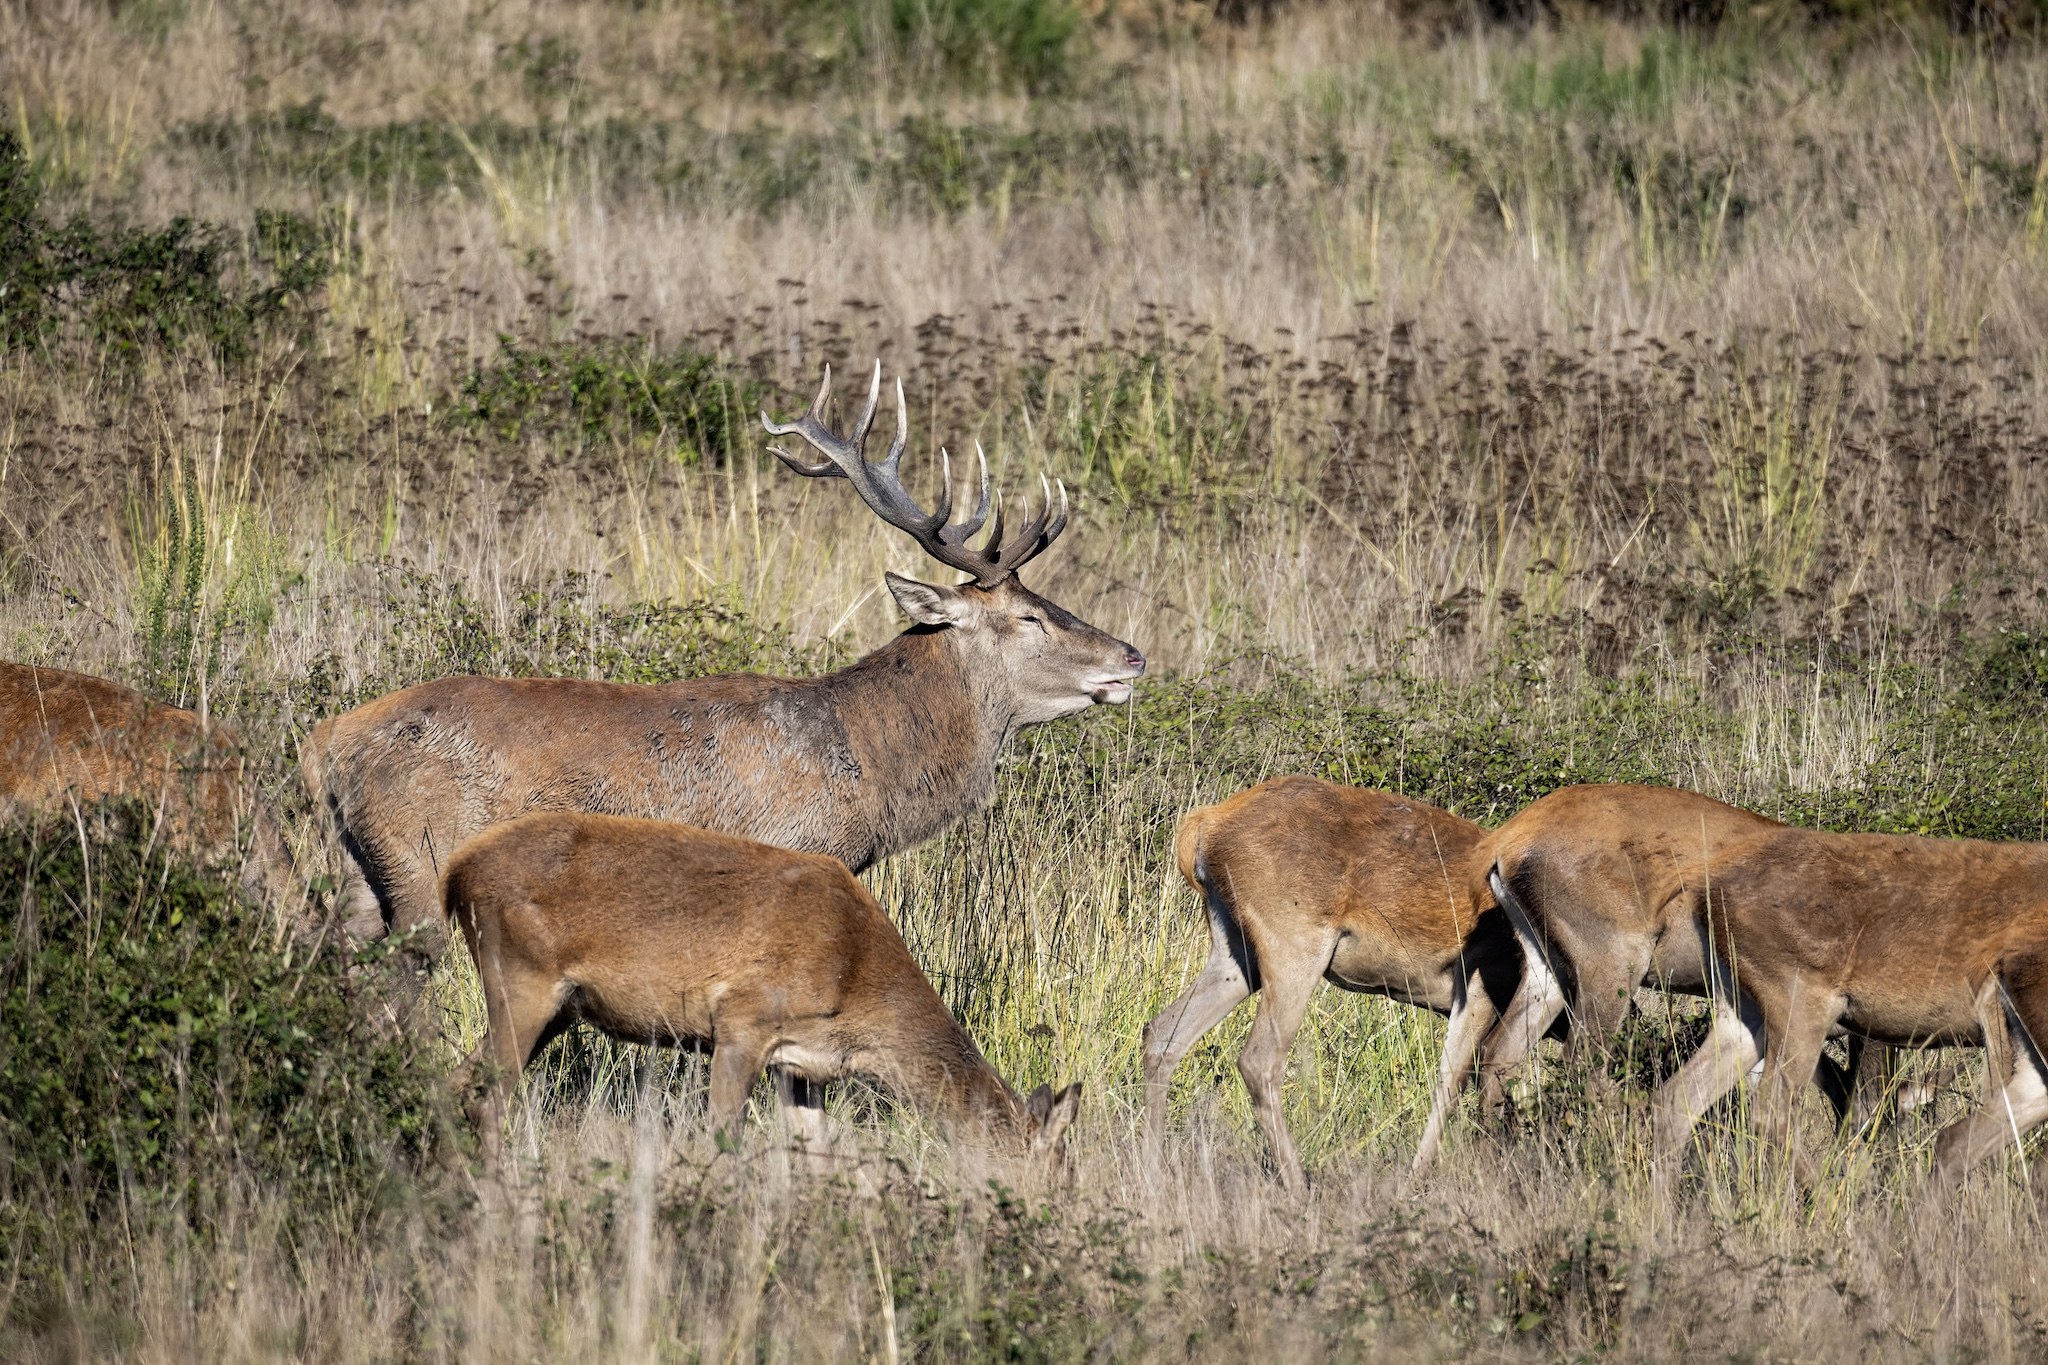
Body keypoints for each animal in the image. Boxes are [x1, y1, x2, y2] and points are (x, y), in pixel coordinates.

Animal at [302, 363, 1145, 980]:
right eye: (1029, 616)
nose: (1132, 656)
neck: (869, 761)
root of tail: (325, 743)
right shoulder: (794, 852)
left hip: (357, 872)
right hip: (417, 860)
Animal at [443, 811, 1083, 1162]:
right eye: (1057, 1171)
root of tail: (455, 873)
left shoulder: (801, 1067)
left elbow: (816, 1154)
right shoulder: (741, 1023)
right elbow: (724, 1135)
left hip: (558, 1009)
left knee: (458, 1080)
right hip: (521, 979)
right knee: (486, 1095)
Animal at [1141, 776, 1539, 1191]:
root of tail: (1204, 826)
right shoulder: (1483, 983)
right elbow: (1455, 1080)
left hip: (1234, 952)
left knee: (1163, 1032)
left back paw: (1152, 1172)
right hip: (1295, 947)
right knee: (1258, 1059)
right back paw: (1297, 1184)